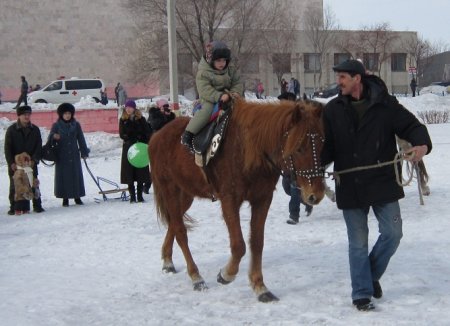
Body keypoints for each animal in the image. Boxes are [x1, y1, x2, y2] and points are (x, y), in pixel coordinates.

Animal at [149, 98, 326, 302]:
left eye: (321, 144)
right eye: (299, 147)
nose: (316, 194)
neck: (249, 147)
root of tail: (156, 136)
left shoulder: (262, 199)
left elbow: (257, 242)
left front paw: (260, 286)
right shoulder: (229, 200)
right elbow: (239, 245)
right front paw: (226, 274)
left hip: (185, 195)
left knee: (173, 223)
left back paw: (168, 261)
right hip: (170, 190)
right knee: (180, 231)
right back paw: (196, 276)